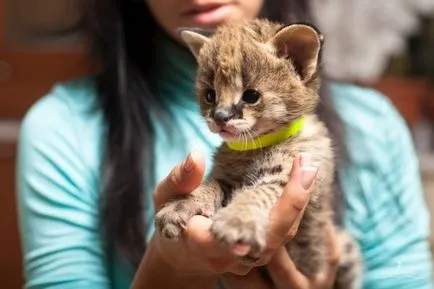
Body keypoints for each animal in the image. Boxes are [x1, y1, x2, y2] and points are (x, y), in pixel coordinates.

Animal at [154, 18, 362, 288]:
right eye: (210, 95)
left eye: (251, 96)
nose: (219, 117)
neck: (254, 146)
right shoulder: (225, 178)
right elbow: (209, 186)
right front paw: (182, 204)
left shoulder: (289, 176)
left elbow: (256, 192)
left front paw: (237, 221)